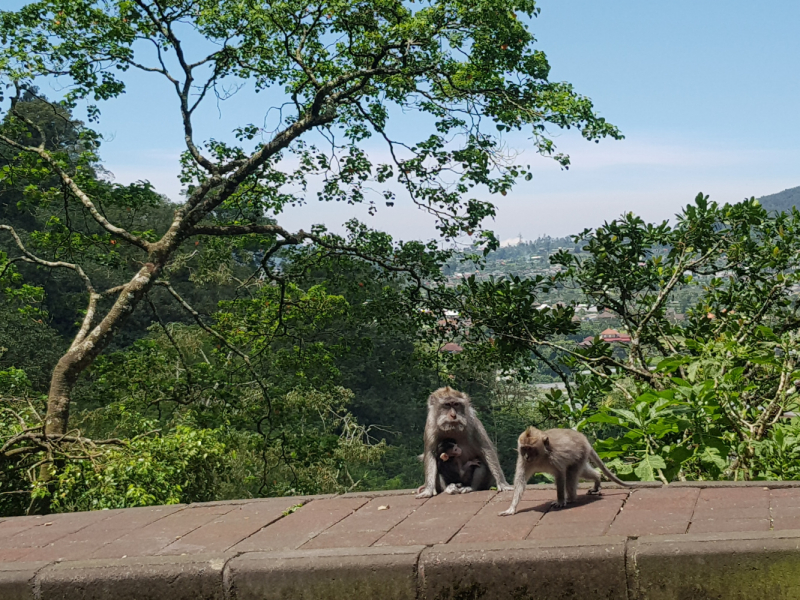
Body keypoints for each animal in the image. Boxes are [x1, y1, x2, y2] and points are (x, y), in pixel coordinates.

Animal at [496, 426, 628, 516]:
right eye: (524, 449)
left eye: (530, 449)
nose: (527, 456)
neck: (541, 456)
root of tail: (585, 440)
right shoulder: (523, 460)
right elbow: (520, 479)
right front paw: (511, 508)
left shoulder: (555, 457)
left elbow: (560, 475)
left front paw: (560, 501)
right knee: (582, 472)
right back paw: (597, 478)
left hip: (580, 454)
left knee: (570, 475)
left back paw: (571, 498)